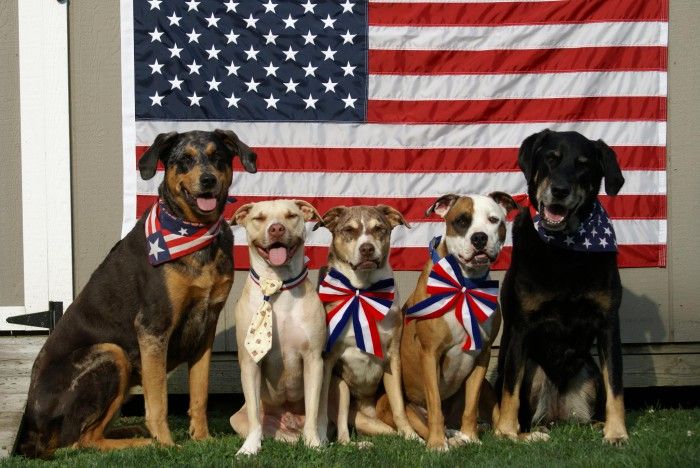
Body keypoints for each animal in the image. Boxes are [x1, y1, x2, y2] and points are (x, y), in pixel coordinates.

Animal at [21, 128, 258, 458]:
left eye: (218, 157)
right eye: (184, 159)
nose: (208, 180)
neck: (194, 231)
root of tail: (30, 425)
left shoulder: (206, 327)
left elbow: (199, 394)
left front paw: (203, 439)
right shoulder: (153, 327)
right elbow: (158, 400)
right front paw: (168, 445)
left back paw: (132, 431)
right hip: (111, 353)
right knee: (81, 440)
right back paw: (143, 442)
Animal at [230, 199, 328, 456]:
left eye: (291, 215)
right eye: (259, 218)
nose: (276, 228)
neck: (279, 284)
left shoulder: (313, 360)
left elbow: (313, 410)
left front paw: (314, 444)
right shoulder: (250, 361)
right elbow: (254, 414)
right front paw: (249, 448)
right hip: (238, 419)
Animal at [314, 207, 422, 444]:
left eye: (379, 228)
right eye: (349, 230)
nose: (367, 248)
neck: (361, 291)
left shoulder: (392, 357)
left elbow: (399, 407)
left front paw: (412, 436)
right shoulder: (328, 359)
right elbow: (320, 407)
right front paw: (318, 437)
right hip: (342, 389)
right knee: (343, 435)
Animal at [380, 191, 516, 450]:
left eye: (494, 220)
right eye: (461, 221)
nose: (479, 237)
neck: (464, 282)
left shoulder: (482, 355)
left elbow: (471, 406)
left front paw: (471, 436)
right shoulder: (430, 353)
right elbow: (435, 406)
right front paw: (437, 444)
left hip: (487, 389)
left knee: (497, 422)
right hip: (404, 408)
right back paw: (447, 439)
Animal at [492, 130, 628, 444]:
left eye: (583, 165)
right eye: (551, 159)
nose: (560, 191)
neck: (565, 250)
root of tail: (556, 414)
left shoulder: (609, 323)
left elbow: (615, 384)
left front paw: (617, 432)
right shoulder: (521, 326)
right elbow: (510, 389)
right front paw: (506, 431)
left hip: (588, 371)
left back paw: (597, 425)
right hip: (534, 370)